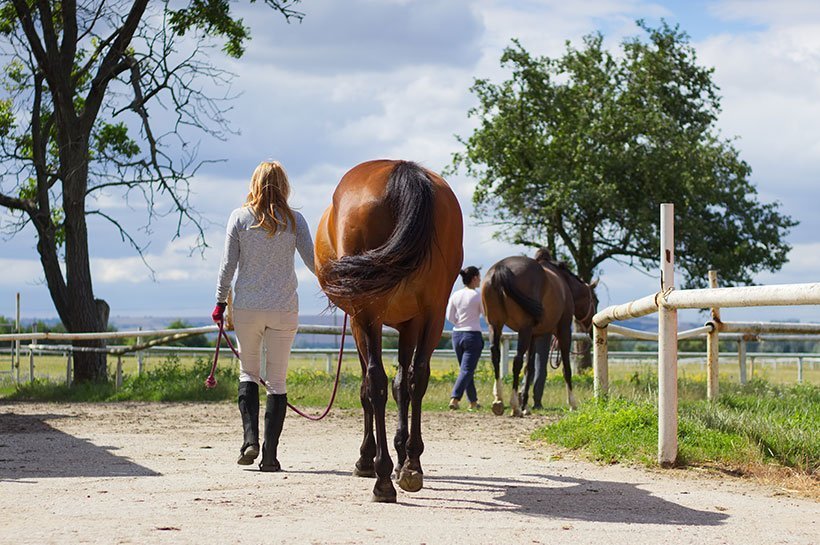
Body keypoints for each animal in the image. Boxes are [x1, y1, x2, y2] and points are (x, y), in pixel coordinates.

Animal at [314, 158, 462, 502]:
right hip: (434, 313)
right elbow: (403, 385)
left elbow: (369, 389)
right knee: (417, 377)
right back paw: (411, 468)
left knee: (375, 383)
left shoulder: (362, 321)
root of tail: (401, 169)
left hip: (367, 313)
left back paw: (381, 478)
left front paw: (368, 459)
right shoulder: (412, 321)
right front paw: (403, 456)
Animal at [480, 249, 596, 414]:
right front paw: (572, 403)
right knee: (517, 360)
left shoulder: (533, 336)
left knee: (496, 355)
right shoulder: (563, 331)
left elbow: (529, 368)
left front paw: (525, 405)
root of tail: (500, 269)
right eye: (594, 300)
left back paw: (499, 400)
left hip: (495, 325)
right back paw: (514, 405)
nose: (593, 329)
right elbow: (566, 368)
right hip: (523, 329)